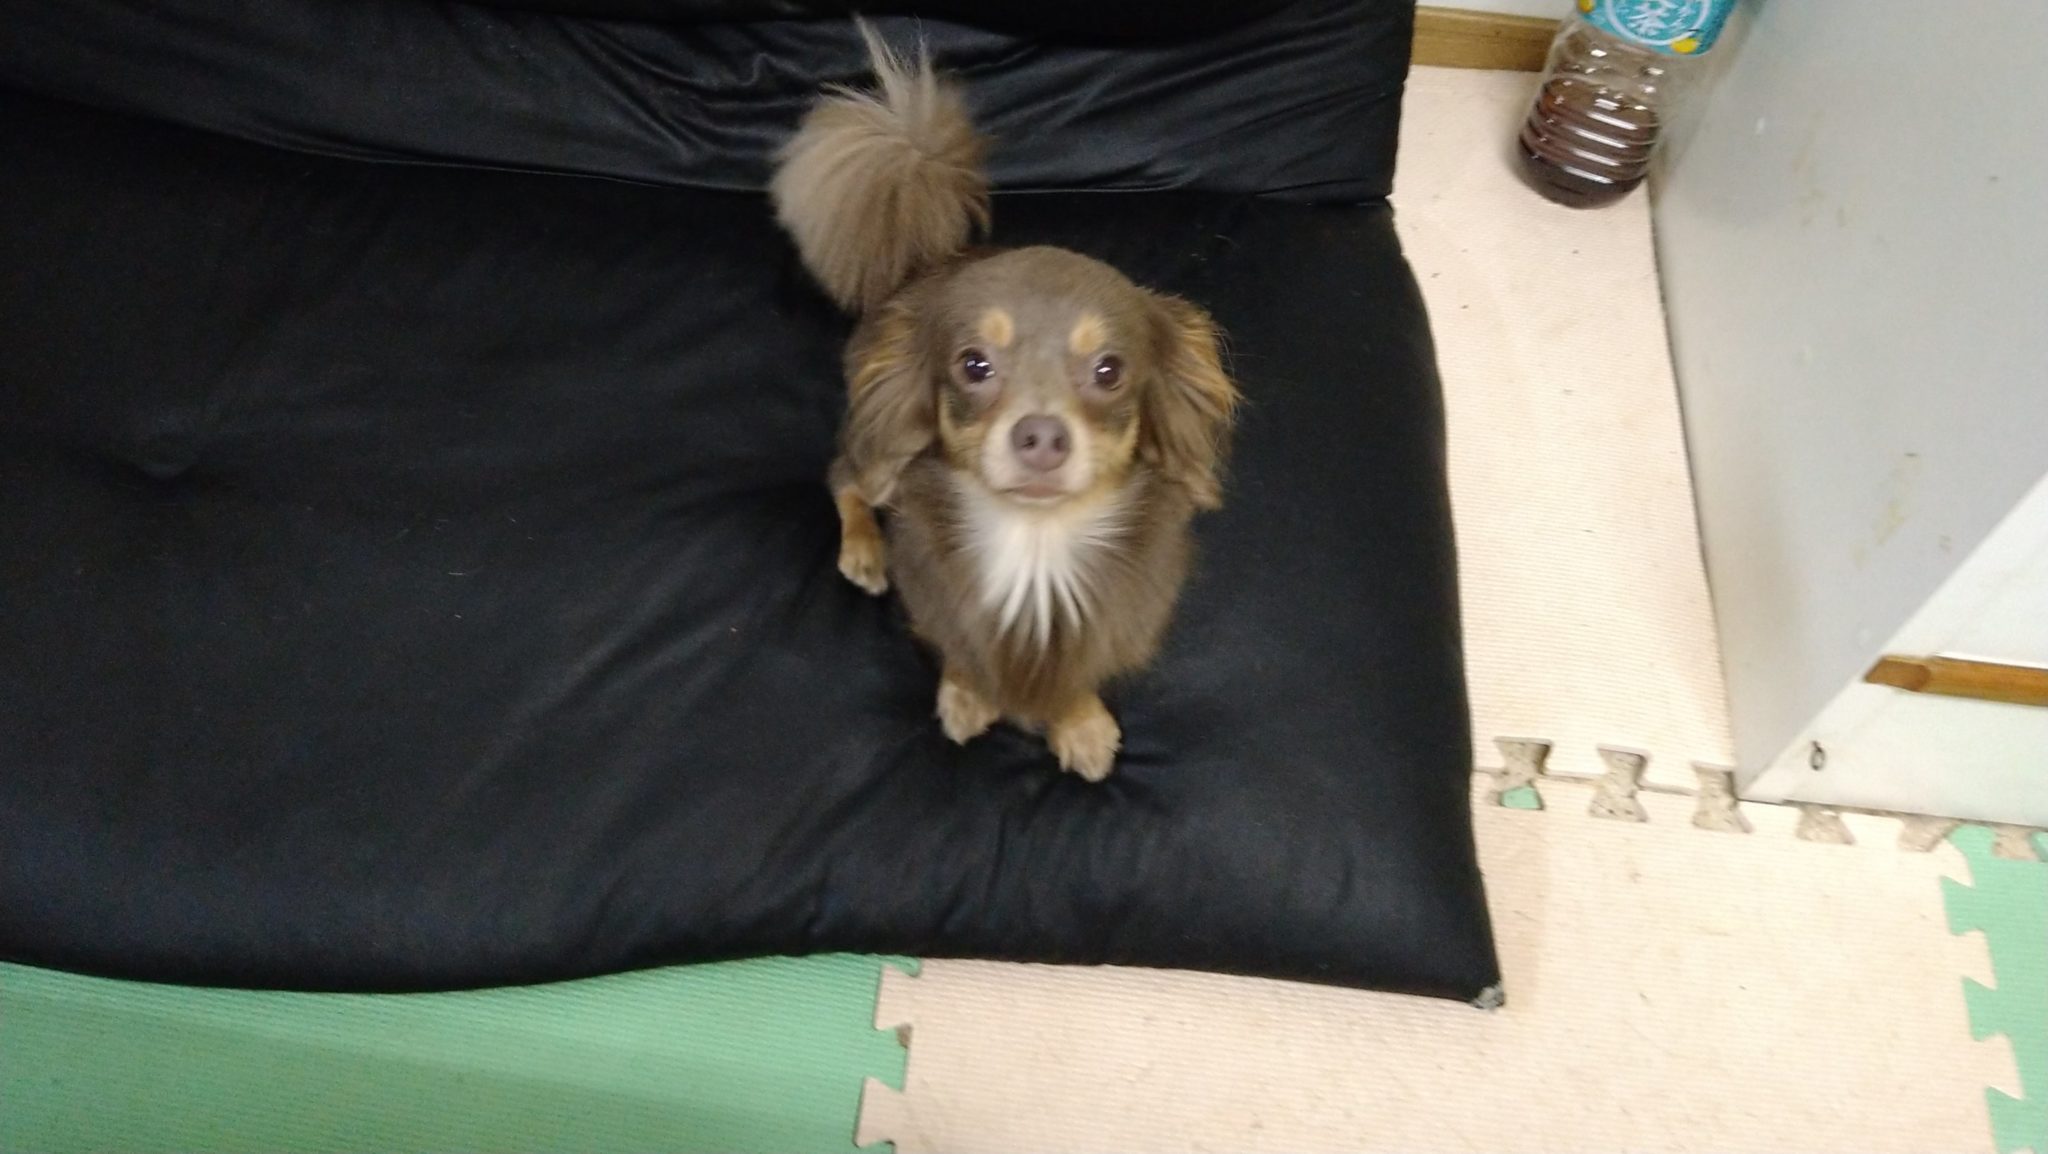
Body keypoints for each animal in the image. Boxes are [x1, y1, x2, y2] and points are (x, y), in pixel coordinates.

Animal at [771, 27, 1240, 781]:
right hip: (875, 451)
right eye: (974, 365)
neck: (1036, 546)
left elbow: (1078, 676)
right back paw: (865, 549)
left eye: (1110, 371)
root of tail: (925, 264)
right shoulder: (937, 603)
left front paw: (1080, 724)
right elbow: (961, 651)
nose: (1041, 436)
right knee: (846, 479)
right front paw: (967, 697)